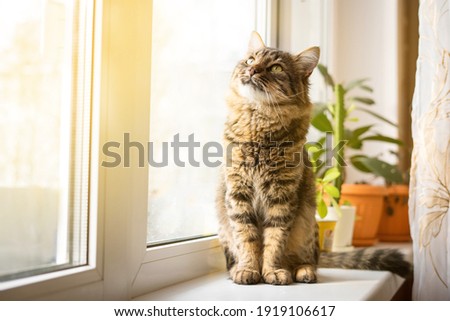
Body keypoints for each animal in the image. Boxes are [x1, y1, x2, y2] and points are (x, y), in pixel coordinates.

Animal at [215, 31, 412, 284]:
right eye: (250, 60)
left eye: (276, 68)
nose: (252, 70)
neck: (258, 127)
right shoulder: (238, 192)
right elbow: (247, 239)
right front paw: (249, 269)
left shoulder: (282, 197)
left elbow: (273, 242)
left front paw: (272, 271)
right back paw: (237, 270)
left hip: (307, 226)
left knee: (308, 261)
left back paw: (303, 271)